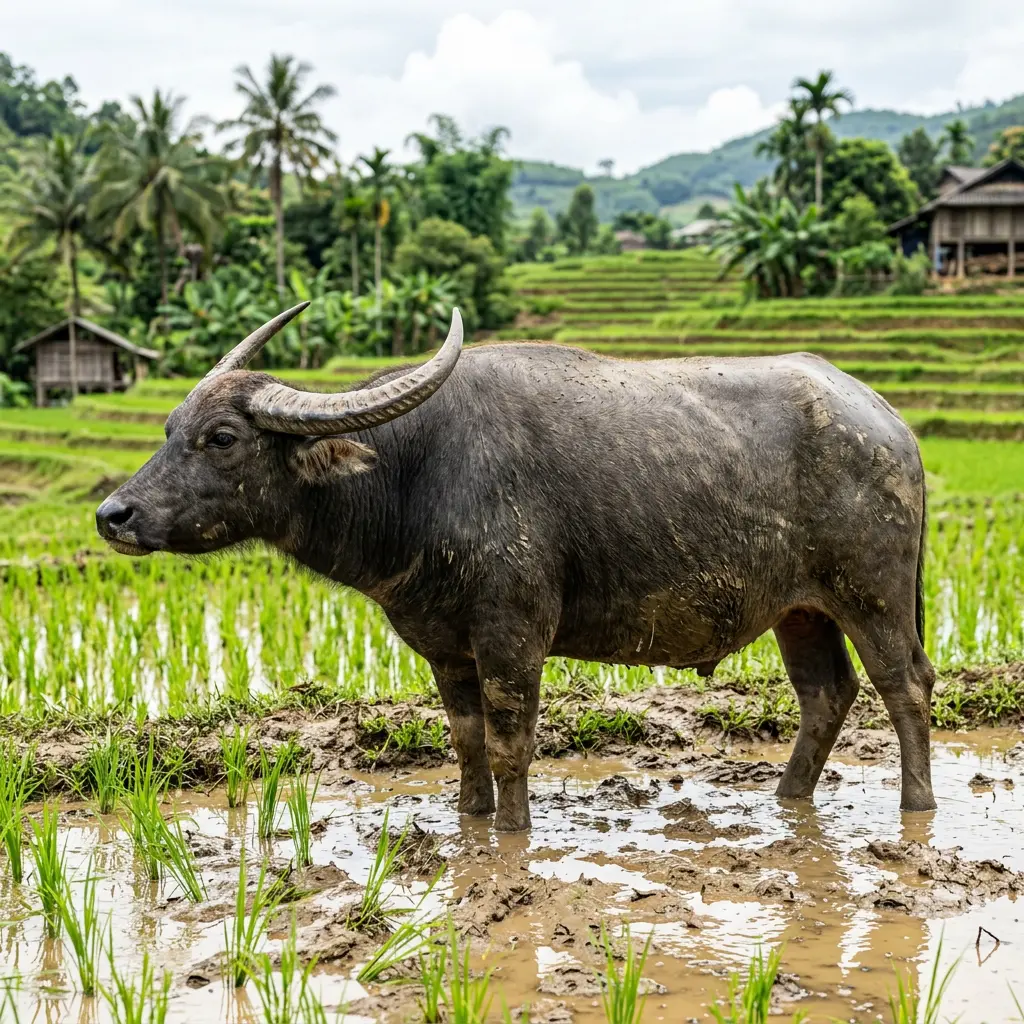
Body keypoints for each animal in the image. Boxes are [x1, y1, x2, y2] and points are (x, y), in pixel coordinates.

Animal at [97, 304, 935, 831]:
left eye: (222, 438)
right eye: (170, 427)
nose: (114, 515)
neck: (413, 474)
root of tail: (891, 424)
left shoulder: (513, 634)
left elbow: (510, 743)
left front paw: (511, 831)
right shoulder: (444, 645)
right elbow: (465, 738)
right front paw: (469, 818)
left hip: (873, 595)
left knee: (906, 687)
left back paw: (916, 805)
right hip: (802, 608)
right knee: (827, 694)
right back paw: (788, 800)